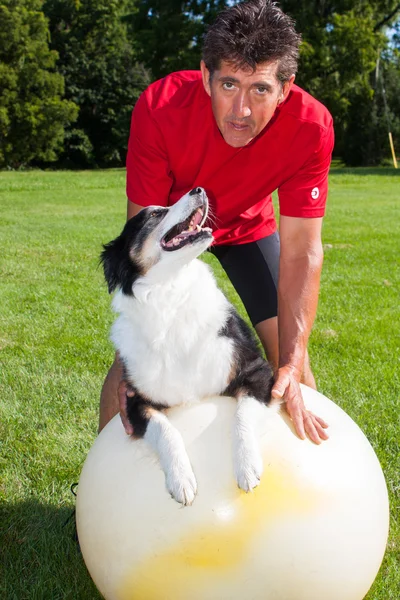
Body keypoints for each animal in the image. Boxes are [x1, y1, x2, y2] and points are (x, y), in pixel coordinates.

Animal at [101, 189, 276, 506]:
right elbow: (164, 429)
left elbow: (242, 414)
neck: (170, 296)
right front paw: (181, 479)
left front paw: (247, 466)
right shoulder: (135, 399)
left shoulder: (257, 370)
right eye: (154, 213)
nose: (199, 190)